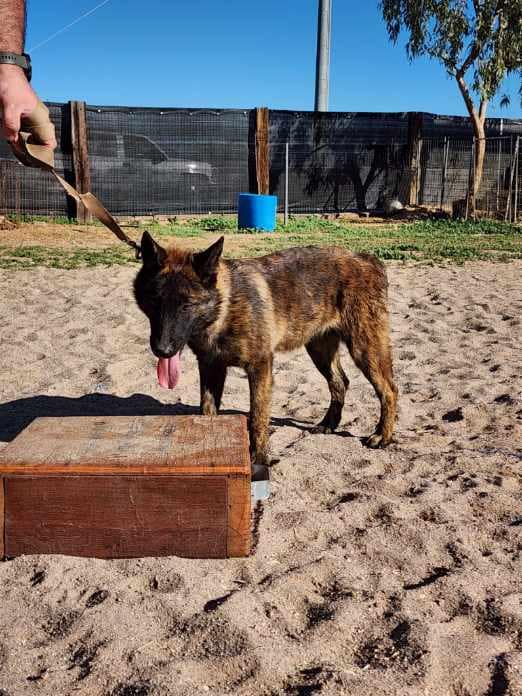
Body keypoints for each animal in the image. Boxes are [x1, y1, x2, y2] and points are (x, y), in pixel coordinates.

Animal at [132, 234, 396, 478]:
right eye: (155, 302)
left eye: (187, 305)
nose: (162, 350)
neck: (223, 310)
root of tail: (367, 258)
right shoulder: (210, 368)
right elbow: (208, 412)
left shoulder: (260, 368)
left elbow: (258, 418)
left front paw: (259, 460)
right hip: (319, 350)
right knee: (340, 382)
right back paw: (328, 424)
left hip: (364, 349)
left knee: (389, 390)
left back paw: (382, 435)